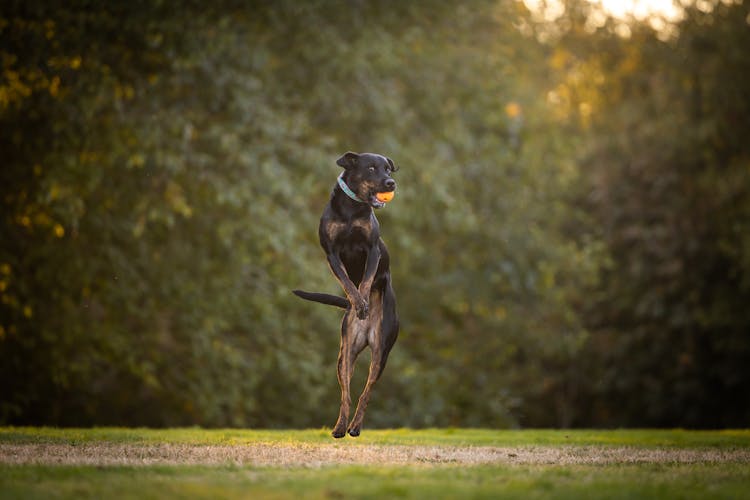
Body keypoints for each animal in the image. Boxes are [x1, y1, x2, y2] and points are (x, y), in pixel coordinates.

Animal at [294, 151, 400, 438]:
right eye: (371, 168)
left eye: (388, 169)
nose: (391, 183)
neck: (353, 209)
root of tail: (367, 333)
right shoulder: (332, 253)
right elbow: (347, 282)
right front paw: (358, 302)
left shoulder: (373, 250)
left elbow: (365, 280)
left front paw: (363, 300)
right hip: (345, 354)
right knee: (346, 393)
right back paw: (340, 426)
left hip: (381, 351)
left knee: (365, 392)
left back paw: (355, 427)